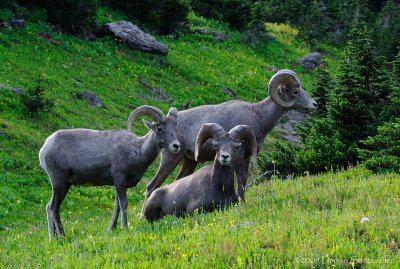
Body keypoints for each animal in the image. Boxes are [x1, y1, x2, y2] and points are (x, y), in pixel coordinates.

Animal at [38, 104, 180, 239]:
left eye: (174, 128)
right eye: (160, 129)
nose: (176, 146)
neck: (137, 151)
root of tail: (45, 147)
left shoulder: (121, 184)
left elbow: (117, 206)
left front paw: (112, 229)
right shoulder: (119, 179)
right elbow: (123, 204)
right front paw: (124, 228)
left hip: (65, 185)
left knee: (51, 207)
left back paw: (56, 237)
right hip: (58, 182)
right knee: (53, 207)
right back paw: (60, 237)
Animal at [145, 70, 318, 200]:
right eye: (295, 91)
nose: (314, 105)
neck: (258, 117)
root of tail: (156, 127)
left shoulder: (246, 156)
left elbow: (244, 180)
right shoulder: (239, 156)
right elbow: (240, 181)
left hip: (189, 162)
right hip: (170, 159)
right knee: (151, 187)